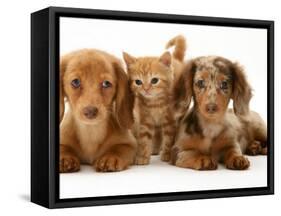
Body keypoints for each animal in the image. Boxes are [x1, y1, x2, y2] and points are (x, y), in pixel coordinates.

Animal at [122, 35, 186, 164]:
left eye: (154, 80)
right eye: (138, 82)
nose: (146, 89)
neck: (155, 103)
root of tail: (176, 59)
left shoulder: (170, 120)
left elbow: (169, 137)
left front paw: (166, 154)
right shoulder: (145, 119)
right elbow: (144, 138)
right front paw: (143, 156)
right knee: (157, 132)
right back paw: (155, 149)